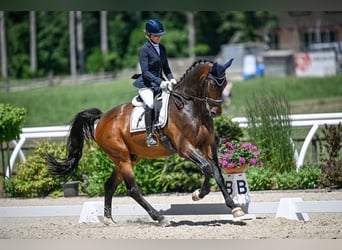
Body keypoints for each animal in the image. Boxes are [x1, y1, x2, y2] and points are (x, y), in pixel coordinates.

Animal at [46, 58, 244, 225]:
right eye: (213, 83)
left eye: (225, 83)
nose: (216, 112)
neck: (191, 106)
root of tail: (103, 118)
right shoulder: (184, 147)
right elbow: (207, 168)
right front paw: (197, 195)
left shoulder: (207, 145)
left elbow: (217, 172)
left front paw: (235, 208)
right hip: (122, 158)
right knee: (133, 189)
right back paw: (159, 218)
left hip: (129, 158)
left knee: (109, 185)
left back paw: (109, 220)